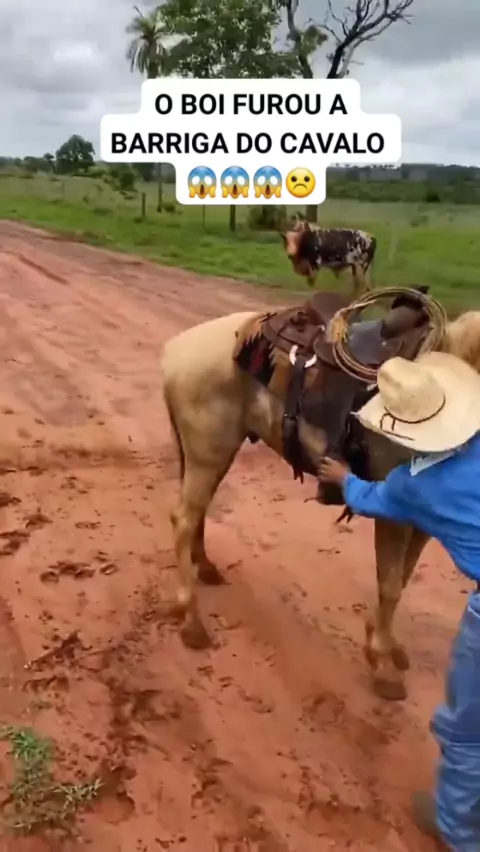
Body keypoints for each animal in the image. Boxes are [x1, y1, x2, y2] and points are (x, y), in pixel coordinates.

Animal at [160, 287, 480, 702]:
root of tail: (175, 350)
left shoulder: (421, 520)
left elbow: (403, 578)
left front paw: (387, 645)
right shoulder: (393, 513)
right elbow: (391, 585)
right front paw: (382, 663)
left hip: (213, 452)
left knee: (196, 512)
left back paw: (206, 569)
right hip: (209, 450)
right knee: (183, 520)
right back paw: (191, 620)